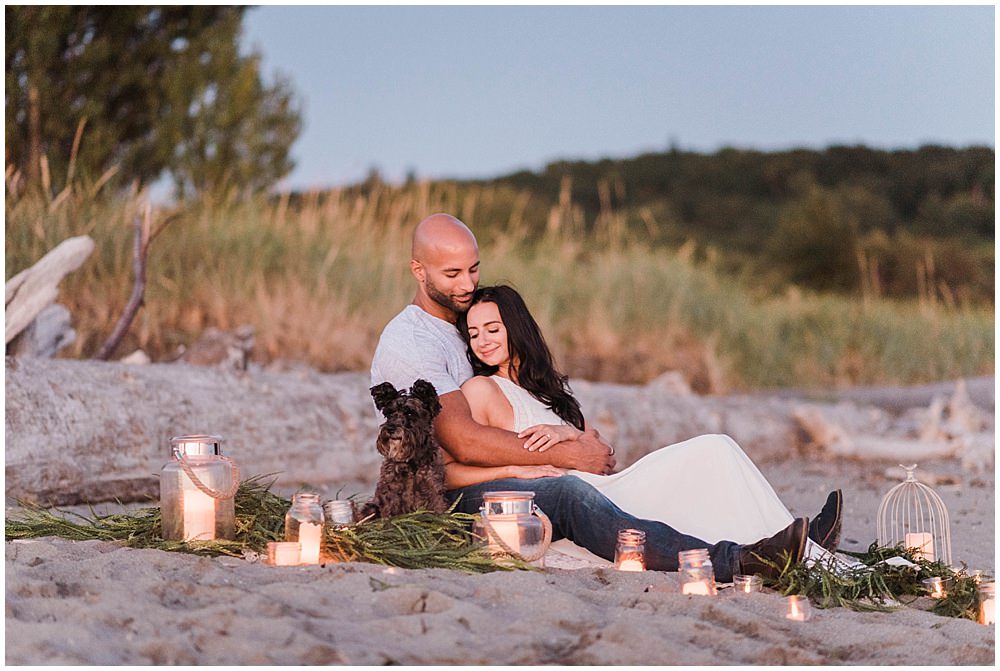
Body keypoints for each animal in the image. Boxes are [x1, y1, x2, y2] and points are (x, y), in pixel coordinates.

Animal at [360, 378, 450, 520]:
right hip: (371, 508)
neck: (412, 461)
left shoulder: (434, 491)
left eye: (410, 412)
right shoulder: (390, 493)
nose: (390, 429)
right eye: (389, 413)